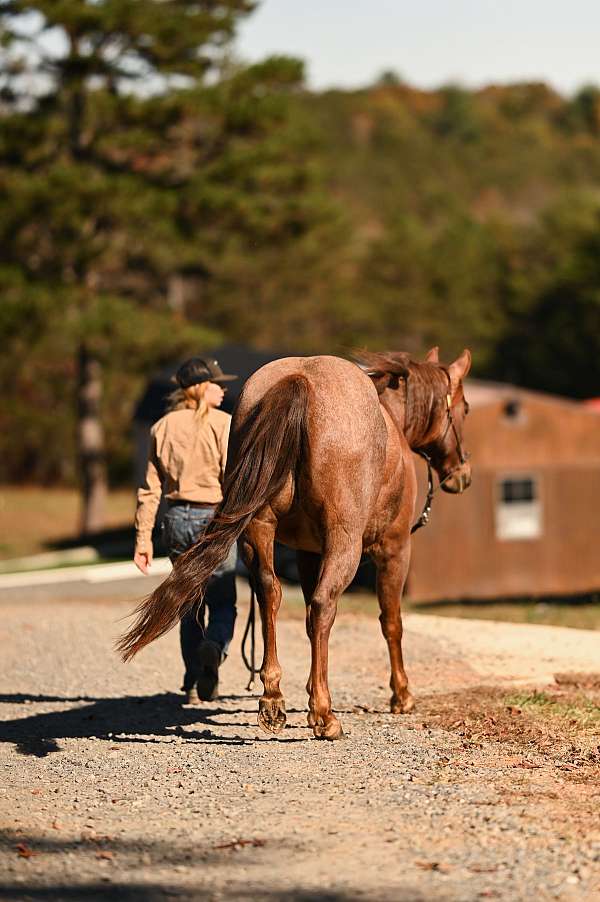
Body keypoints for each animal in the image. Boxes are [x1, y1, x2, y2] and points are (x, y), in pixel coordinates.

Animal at [118, 348, 474, 740]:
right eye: (464, 407)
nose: (462, 474)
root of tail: (300, 379)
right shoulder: (394, 551)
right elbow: (390, 622)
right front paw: (402, 695)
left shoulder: (307, 554)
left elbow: (305, 620)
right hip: (344, 543)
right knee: (323, 605)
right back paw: (324, 715)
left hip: (259, 531)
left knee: (269, 594)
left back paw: (273, 700)